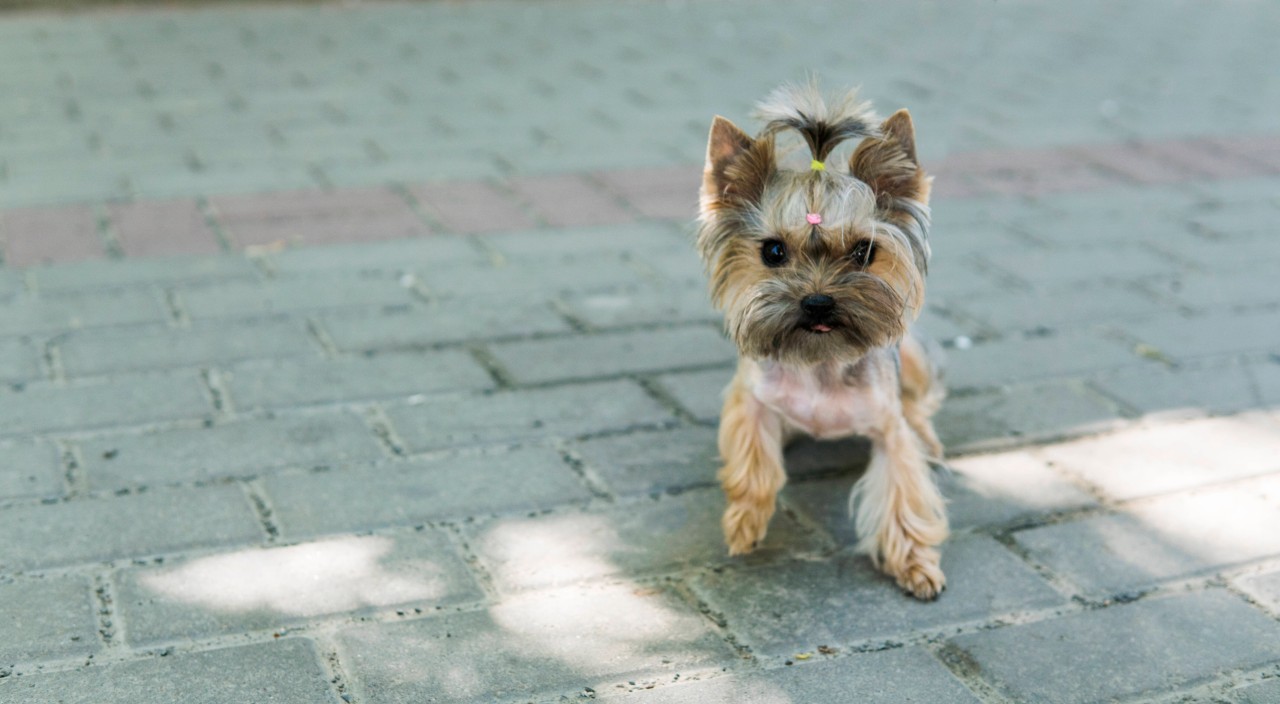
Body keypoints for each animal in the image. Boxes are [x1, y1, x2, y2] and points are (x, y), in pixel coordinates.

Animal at [696, 82, 947, 601]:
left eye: (864, 251)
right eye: (773, 251)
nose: (816, 302)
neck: (820, 362)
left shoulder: (888, 426)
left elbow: (903, 488)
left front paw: (916, 565)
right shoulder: (749, 395)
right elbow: (754, 461)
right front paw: (745, 523)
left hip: (911, 354)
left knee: (920, 404)